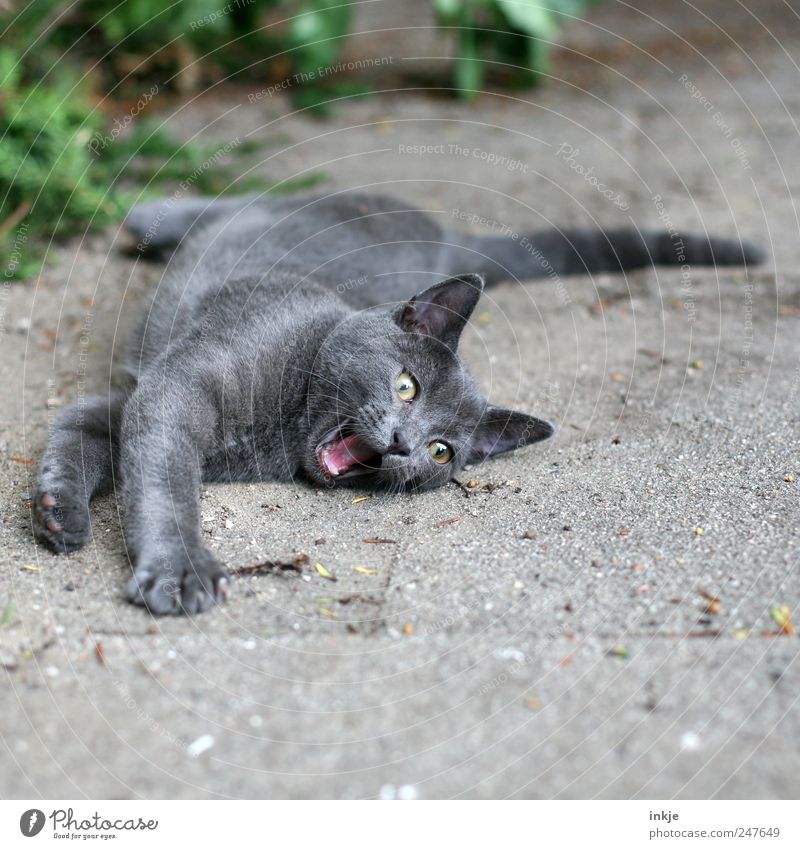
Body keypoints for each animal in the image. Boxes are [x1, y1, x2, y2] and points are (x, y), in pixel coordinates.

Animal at [34, 192, 764, 612]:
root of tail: (444, 236)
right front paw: (181, 572)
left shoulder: (132, 399)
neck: (279, 430)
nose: (402, 445)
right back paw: (149, 214)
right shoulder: (173, 389)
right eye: (406, 385)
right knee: (232, 197)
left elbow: (81, 433)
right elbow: (164, 479)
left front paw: (56, 511)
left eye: (443, 452)